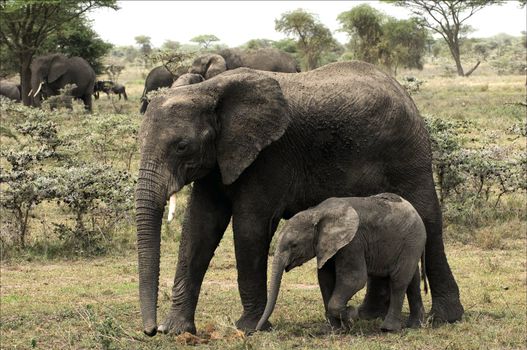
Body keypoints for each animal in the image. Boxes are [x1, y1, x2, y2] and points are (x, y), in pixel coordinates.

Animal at [256, 194, 428, 334]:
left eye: (294, 245)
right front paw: (334, 330)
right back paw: (415, 325)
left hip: (412, 241)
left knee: (399, 281)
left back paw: (388, 328)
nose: (257, 330)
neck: (316, 212)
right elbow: (325, 279)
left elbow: (354, 279)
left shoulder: (353, 242)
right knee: (412, 280)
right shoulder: (327, 245)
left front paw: (352, 315)